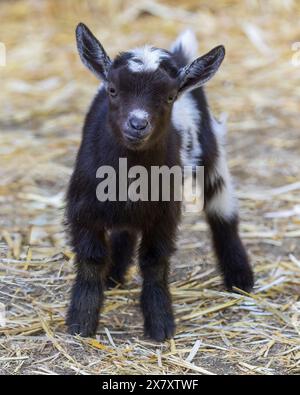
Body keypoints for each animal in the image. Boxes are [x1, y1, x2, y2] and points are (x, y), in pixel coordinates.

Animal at [65, 23, 253, 342]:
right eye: (113, 89)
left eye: (169, 97)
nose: (138, 124)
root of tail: (180, 54)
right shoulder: (83, 210)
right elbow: (91, 260)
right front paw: (81, 321)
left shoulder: (164, 215)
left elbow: (155, 263)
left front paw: (160, 324)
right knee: (126, 229)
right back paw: (114, 274)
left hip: (210, 149)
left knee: (222, 209)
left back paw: (240, 277)